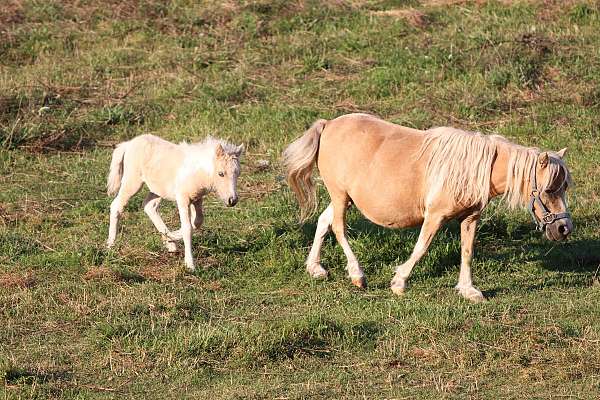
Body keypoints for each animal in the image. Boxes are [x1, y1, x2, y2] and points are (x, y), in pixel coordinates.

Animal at [106, 135, 243, 272]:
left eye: (238, 173)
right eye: (221, 173)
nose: (232, 200)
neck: (196, 171)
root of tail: (129, 144)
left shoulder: (197, 199)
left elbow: (197, 222)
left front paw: (172, 237)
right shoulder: (182, 199)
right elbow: (188, 228)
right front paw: (190, 264)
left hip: (158, 189)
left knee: (149, 206)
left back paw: (170, 243)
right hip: (132, 182)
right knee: (117, 206)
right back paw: (110, 244)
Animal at [284, 114, 576, 302]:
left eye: (564, 187)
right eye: (550, 188)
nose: (564, 228)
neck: (473, 167)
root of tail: (328, 125)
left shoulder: (470, 217)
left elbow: (467, 252)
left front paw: (469, 291)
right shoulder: (435, 216)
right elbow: (421, 248)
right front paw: (399, 282)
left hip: (344, 198)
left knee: (323, 221)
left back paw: (315, 268)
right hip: (340, 195)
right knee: (338, 228)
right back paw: (357, 275)